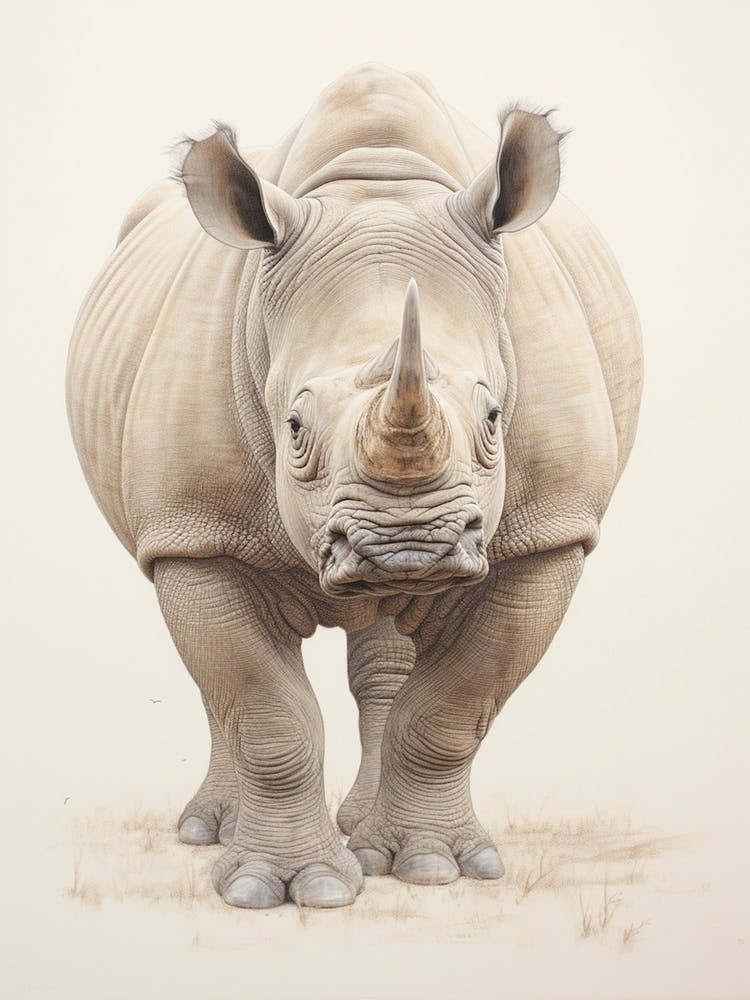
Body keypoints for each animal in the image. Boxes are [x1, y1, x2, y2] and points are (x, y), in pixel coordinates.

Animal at [66, 65, 642, 909]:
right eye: (295, 428)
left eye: (493, 417)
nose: (408, 548)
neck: (377, 185)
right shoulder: (196, 528)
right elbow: (266, 712)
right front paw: (282, 889)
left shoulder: (549, 532)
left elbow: (455, 706)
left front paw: (435, 869)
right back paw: (214, 832)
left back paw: (370, 841)